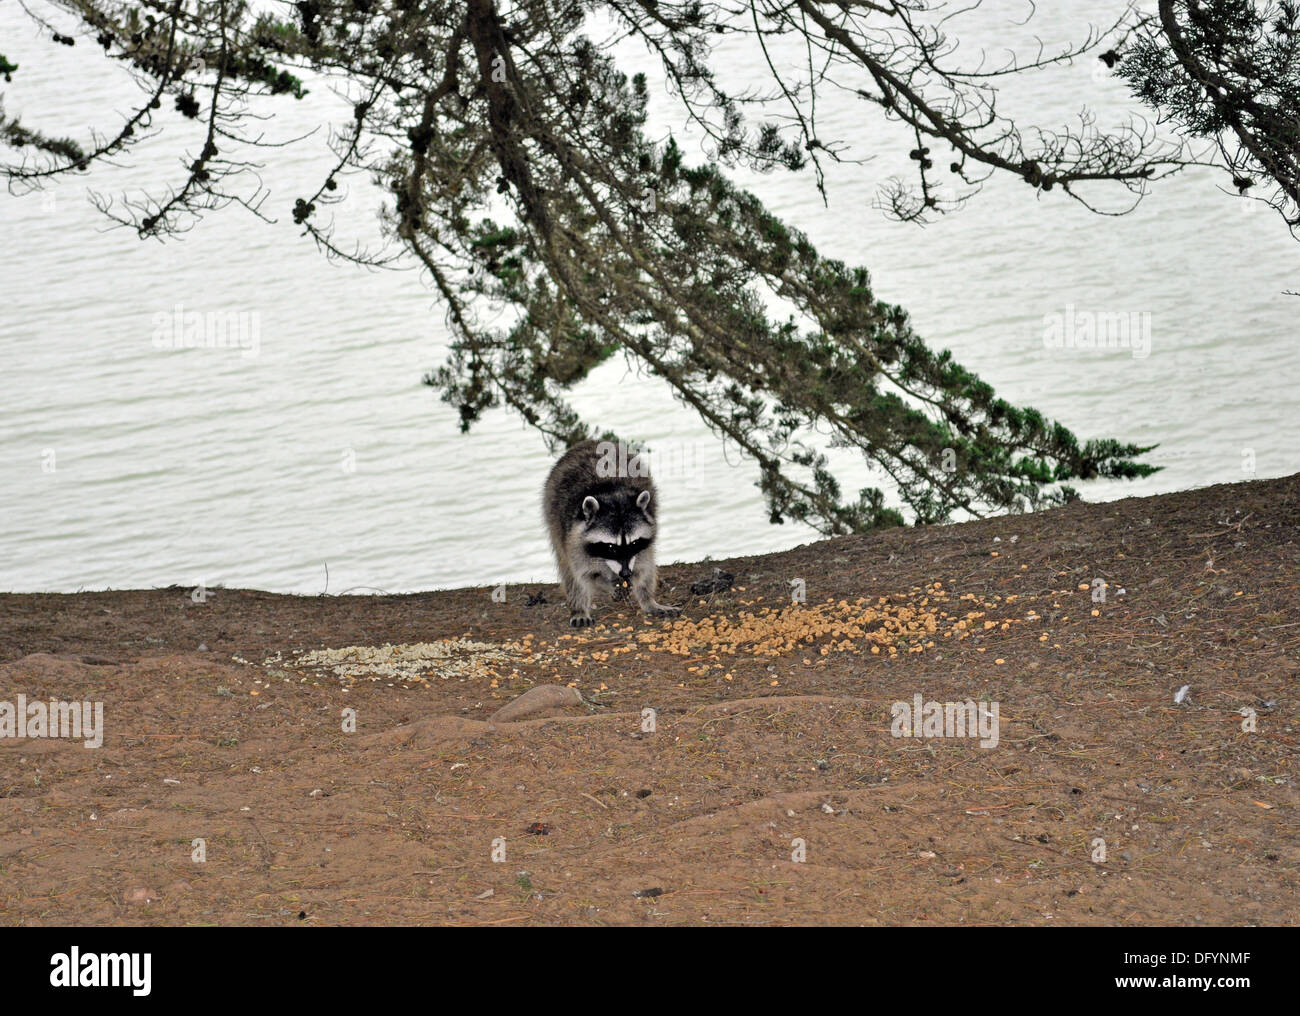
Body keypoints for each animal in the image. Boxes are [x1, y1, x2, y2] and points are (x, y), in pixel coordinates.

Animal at [543, 439, 681, 628]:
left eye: (633, 543)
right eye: (610, 547)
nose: (626, 574)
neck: (612, 494)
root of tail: (591, 442)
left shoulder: (646, 538)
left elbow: (644, 567)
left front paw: (644, 594)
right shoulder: (573, 536)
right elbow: (583, 574)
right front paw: (602, 585)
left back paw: (647, 599)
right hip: (554, 519)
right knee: (569, 572)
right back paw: (579, 605)